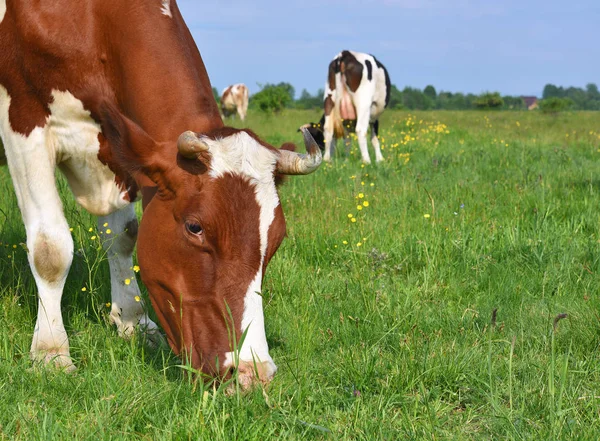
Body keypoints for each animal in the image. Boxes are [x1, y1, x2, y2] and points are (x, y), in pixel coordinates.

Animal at [0, 0, 322, 388]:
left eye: (277, 237)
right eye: (195, 228)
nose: (251, 373)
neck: (88, 19)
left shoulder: (120, 143)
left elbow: (124, 236)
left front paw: (134, 321)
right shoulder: (23, 121)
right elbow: (51, 249)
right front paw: (51, 352)